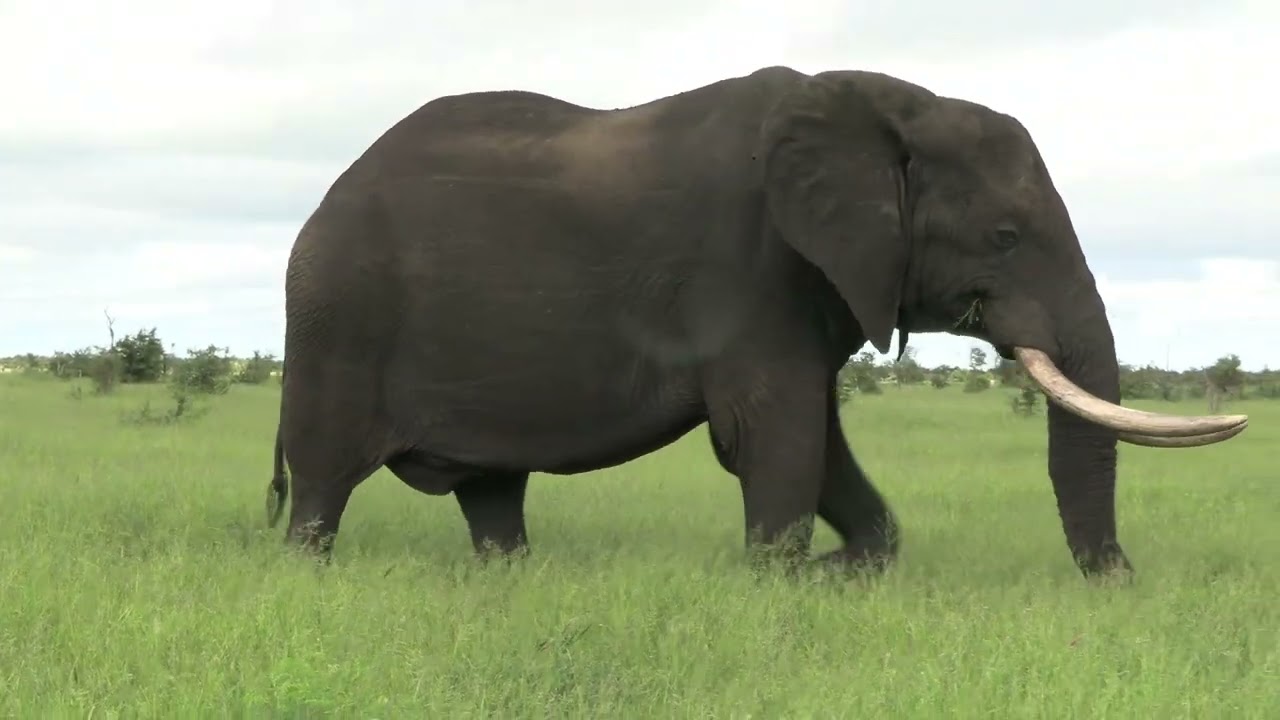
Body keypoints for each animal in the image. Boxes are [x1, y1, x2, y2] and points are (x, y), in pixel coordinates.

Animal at [264, 65, 1248, 579]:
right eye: (1004, 238)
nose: (1120, 582)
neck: (883, 106)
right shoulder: (749, 268)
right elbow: (773, 433)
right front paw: (781, 579)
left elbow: (819, 436)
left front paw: (837, 570)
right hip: (339, 317)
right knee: (322, 487)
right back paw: (308, 576)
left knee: (493, 492)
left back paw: (512, 577)